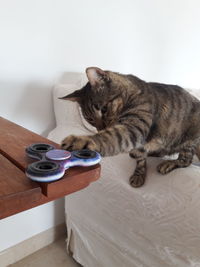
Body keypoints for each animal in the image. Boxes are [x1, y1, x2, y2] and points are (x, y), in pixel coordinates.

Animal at [60, 67, 200, 188]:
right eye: (90, 119)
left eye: (104, 109)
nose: (101, 128)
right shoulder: (138, 144)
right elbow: (140, 159)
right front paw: (139, 174)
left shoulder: (135, 127)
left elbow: (110, 137)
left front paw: (82, 141)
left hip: (189, 140)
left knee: (186, 160)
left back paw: (169, 163)